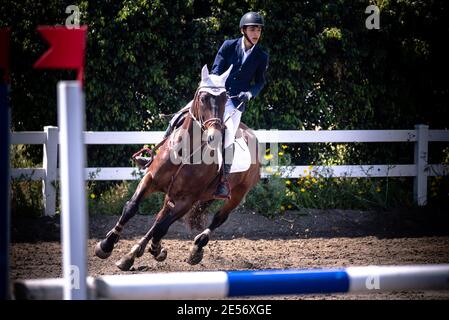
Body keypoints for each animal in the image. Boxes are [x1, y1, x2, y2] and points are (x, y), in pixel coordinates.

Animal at [95, 65, 262, 270]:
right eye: (202, 98)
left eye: (224, 99)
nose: (214, 137)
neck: (185, 151)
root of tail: (253, 136)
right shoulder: (150, 179)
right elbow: (131, 208)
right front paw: (106, 245)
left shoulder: (188, 199)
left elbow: (162, 228)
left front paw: (156, 249)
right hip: (173, 193)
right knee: (160, 216)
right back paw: (132, 254)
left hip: (237, 194)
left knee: (218, 218)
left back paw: (196, 248)